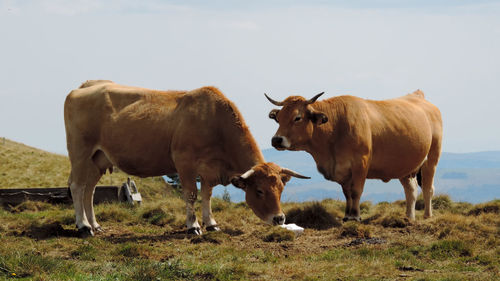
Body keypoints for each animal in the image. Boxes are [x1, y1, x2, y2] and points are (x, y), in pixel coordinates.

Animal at [266, 89, 442, 221]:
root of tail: (418, 96)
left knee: (428, 188)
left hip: (431, 159)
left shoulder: (360, 164)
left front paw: (355, 216)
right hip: (405, 167)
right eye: (279, 118)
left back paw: (427, 215)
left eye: (297, 117)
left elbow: (356, 191)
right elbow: (347, 193)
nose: (276, 139)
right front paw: (347, 215)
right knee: (411, 190)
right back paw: (408, 217)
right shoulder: (343, 170)